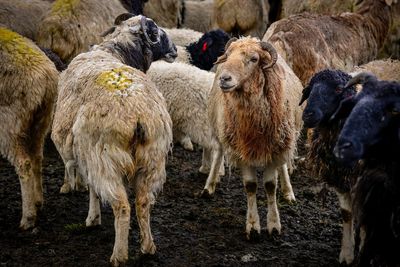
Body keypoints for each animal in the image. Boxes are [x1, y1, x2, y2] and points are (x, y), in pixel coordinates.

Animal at [0, 28, 58, 231]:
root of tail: (46, 74)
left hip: (9, 123)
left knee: (23, 163)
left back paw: (28, 217)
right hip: (42, 120)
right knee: (37, 157)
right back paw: (38, 201)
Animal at [50, 14, 176, 266]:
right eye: (155, 33)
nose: (176, 49)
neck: (112, 51)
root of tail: (137, 116)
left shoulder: (86, 153)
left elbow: (92, 188)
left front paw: (92, 218)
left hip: (105, 158)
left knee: (122, 206)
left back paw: (119, 254)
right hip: (153, 158)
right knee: (143, 202)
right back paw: (147, 247)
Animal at [203, 36, 304, 239]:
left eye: (254, 59)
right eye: (228, 55)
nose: (224, 78)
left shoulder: (275, 148)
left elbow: (270, 186)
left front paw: (274, 225)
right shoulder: (242, 151)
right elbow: (250, 186)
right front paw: (253, 226)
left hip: (284, 139)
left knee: (283, 165)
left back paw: (288, 192)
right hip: (221, 128)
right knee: (218, 152)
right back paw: (209, 186)